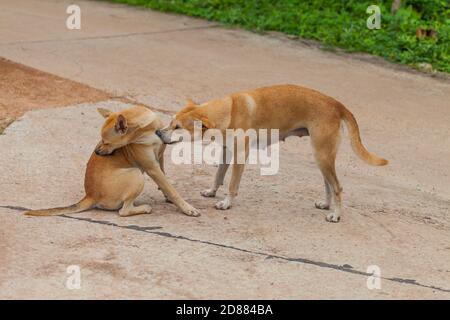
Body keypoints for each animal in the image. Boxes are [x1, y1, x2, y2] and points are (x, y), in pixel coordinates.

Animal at [24, 105, 200, 218]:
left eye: (106, 142)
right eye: (101, 140)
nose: (97, 152)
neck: (147, 130)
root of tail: (90, 196)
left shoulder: (160, 158)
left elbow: (167, 185)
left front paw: (170, 198)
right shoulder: (152, 167)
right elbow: (171, 188)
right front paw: (187, 208)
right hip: (136, 174)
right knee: (123, 211)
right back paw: (144, 208)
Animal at [156, 84, 388, 221]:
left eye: (177, 127)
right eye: (170, 122)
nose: (158, 132)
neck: (228, 111)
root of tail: (336, 104)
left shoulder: (240, 157)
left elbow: (232, 185)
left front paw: (226, 203)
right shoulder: (226, 152)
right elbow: (218, 175)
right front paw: (212, 191)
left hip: (322, 156)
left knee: (338, 187)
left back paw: (336, 215)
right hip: (322, 157)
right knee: (329, 185)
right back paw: (326, 205)